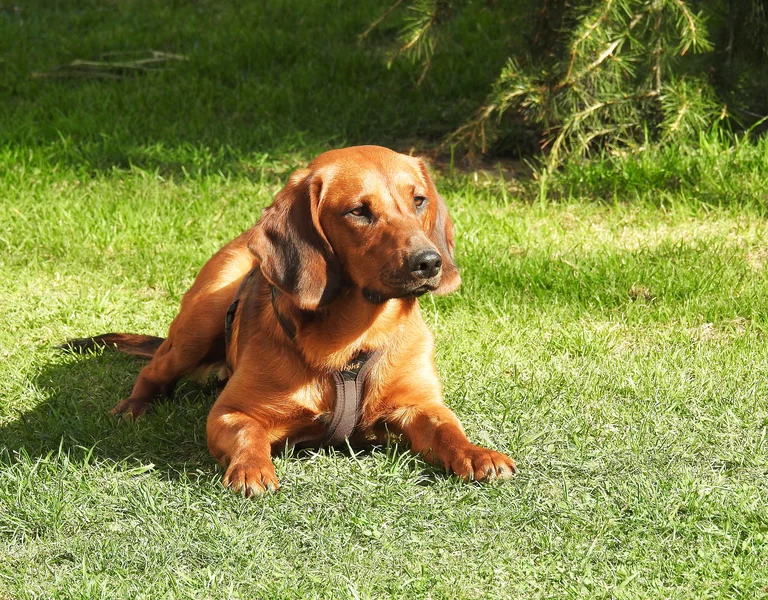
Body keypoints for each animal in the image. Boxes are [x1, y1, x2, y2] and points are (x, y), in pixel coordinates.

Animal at [69, 146, 520, 496]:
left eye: (419, 201)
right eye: (359, 211)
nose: (429, 262)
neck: (353, 340)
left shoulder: (420, 404)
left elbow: (448, 429)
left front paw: (476, 453)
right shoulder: (229, 413)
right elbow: (249, 435)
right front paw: (252, 469)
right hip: (195, 328)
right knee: (152, 372)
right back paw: (134, 406)